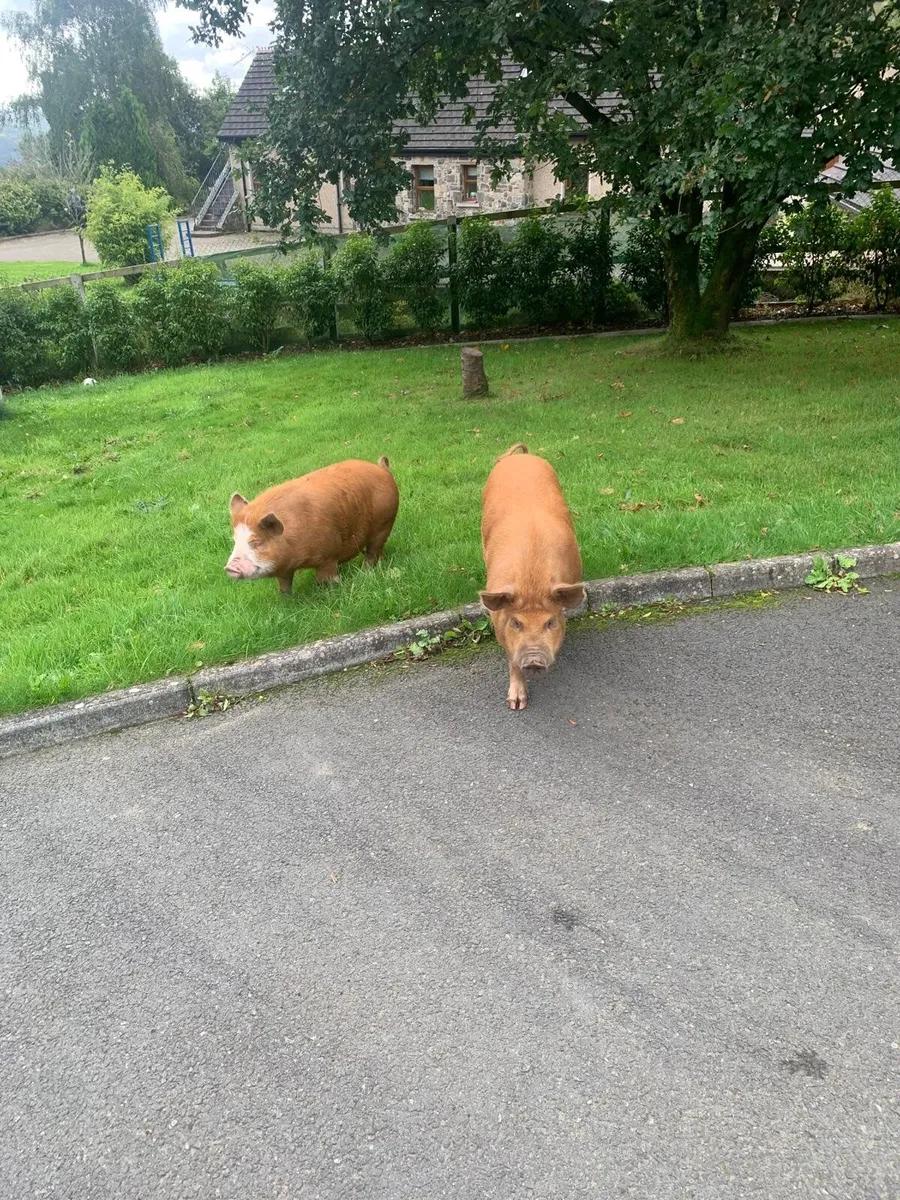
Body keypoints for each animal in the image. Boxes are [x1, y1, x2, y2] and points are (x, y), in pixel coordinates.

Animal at [226, 457, 399, 594]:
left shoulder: (329, 555)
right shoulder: (284, 569)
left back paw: (366, 571)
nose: (229, 568)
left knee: (372, 551)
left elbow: (326, 578)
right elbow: (284, 583)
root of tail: (382, 469)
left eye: (256, 542)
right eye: (235, 541)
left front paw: (328, 590)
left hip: (384, 524)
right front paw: (286, 597)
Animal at [480, 443, 585, 711]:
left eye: (550, 623)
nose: (534, 660)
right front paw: (516, 705)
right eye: (517, 623)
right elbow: (512, 659)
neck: (532, 582)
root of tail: (520, 457)